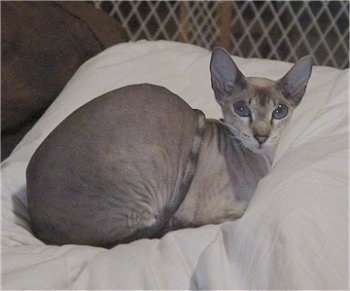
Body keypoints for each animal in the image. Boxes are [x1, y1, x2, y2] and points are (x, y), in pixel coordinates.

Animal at [26, 48, 312, 249]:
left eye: (280, 111)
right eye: (242, 109)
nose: (261, 136)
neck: (261, 159)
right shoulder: (219, 214)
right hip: (153, 169)